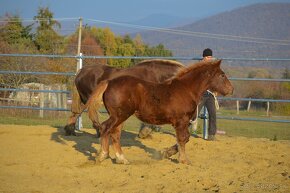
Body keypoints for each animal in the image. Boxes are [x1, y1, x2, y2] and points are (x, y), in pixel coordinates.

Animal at [85, 59, 233, 164]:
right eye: (222, 75)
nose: (231, 89)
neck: (186, 89)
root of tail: (109, 82)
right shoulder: (181, 121)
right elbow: (183, 138)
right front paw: (183, 160)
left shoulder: (183, 122)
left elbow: (184, 139)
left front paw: (167, 153)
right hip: (119, 115)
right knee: (106, 128)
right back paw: (103, 155)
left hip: (120, 116)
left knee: (115, 133)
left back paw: (122, 159)